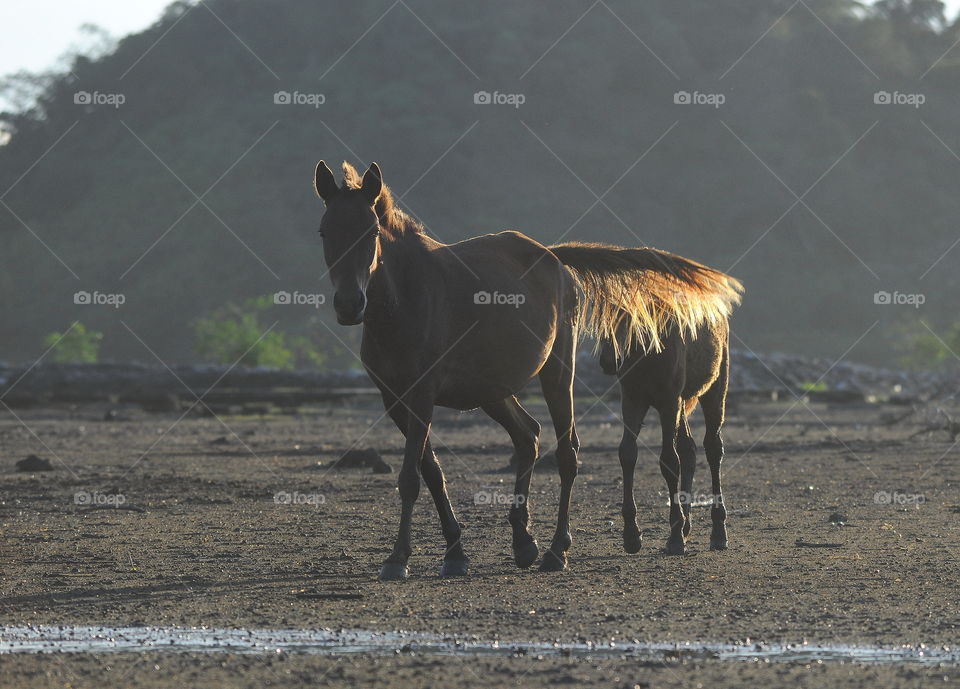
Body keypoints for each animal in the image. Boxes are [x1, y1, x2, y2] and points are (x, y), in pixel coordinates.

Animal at [600, 306, 744, 552]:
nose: (610, 360)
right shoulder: (632, 400)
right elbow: (627, 454)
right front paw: (632, 535)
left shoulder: (669, 402)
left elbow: (669, 461)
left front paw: (675, 537)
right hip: (682, 402)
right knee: (689, 450)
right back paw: (687, 526)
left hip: (714, 389)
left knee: (713, 449)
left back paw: (718, 532)